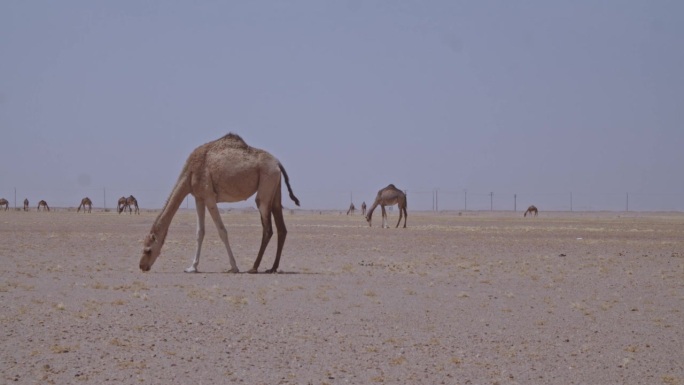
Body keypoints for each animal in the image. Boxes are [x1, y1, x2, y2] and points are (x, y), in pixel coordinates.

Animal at [138, 134, 300, 274]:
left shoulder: (209, 196)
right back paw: (272, 268)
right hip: (275, 189)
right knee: (281, 227)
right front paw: (192, 267)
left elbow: (222, 231)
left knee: (267, 228)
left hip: (265, 188)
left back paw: (254, 267)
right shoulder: (199, 198)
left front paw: (234, 267)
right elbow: (200, 232)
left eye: (148, 250)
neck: (190, 173)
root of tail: (278, 163)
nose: (142, 266)